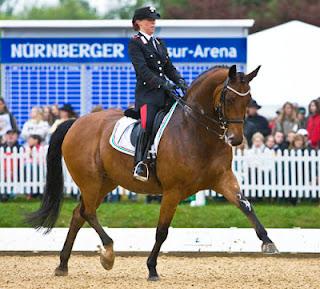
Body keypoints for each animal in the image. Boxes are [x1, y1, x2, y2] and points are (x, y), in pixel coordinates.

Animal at [27, 64, 278, 280]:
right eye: (229, 98)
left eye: (248, 100)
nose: (235, 139)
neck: (197, 130)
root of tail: (76, 122)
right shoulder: (173, 191)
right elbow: (162, 231)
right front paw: (152, 269)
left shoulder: (223, 179)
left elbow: (246, 205)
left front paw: (268, 242)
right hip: (91, 181)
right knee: (87, 212)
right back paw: (108, 253)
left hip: (105, 183)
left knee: (79, 214)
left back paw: (63, 264)